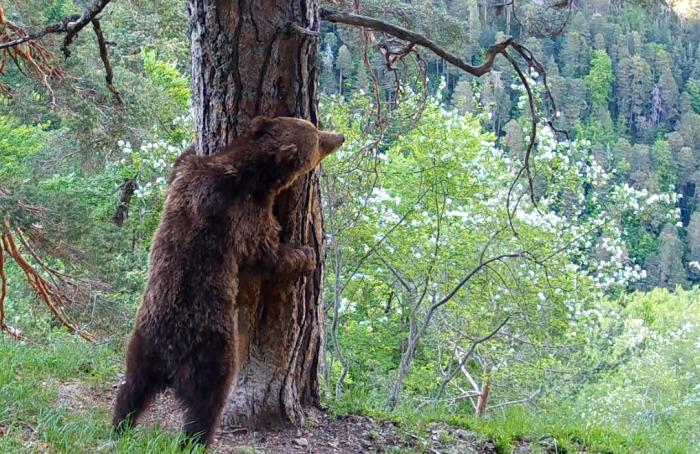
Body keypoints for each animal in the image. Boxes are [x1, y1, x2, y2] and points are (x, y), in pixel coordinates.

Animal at [112, 116, 344, 446]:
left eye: (313, 128)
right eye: (316, 140)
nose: (339, 137)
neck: (249, 174)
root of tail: (169, 359)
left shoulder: (187, 177)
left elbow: (179, 164)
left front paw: (190, 143)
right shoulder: (243, 213)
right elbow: (266, 254)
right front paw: (306, 254)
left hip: (142, 344)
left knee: (131, 389)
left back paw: (119, 426)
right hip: (211, 348)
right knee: (206, 403)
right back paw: (197, 441)